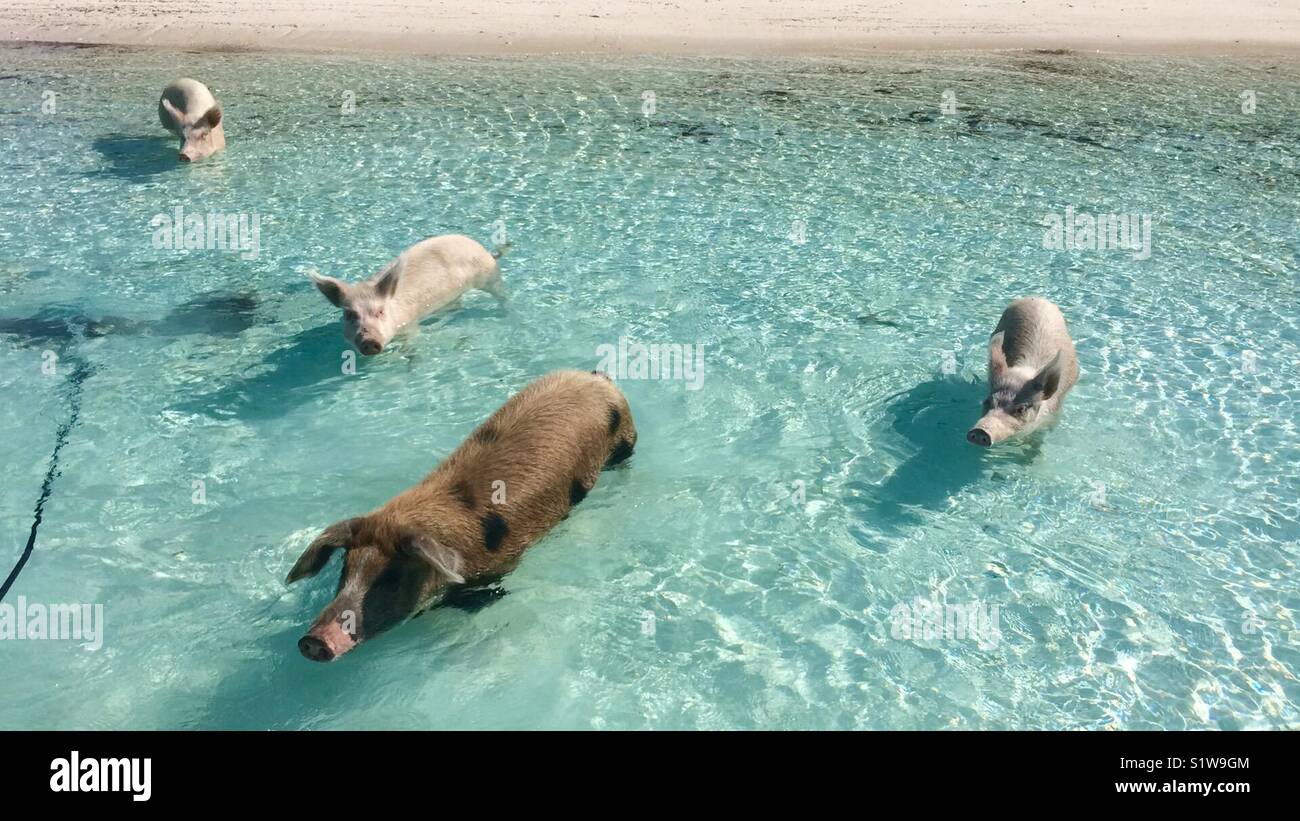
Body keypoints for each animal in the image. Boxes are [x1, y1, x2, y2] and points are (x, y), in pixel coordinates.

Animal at [283, 371, 634, 659]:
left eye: (392, 577)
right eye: (345, 569)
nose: (313, 640)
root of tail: (596, 377)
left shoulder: (492, 574)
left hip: (625, 439)